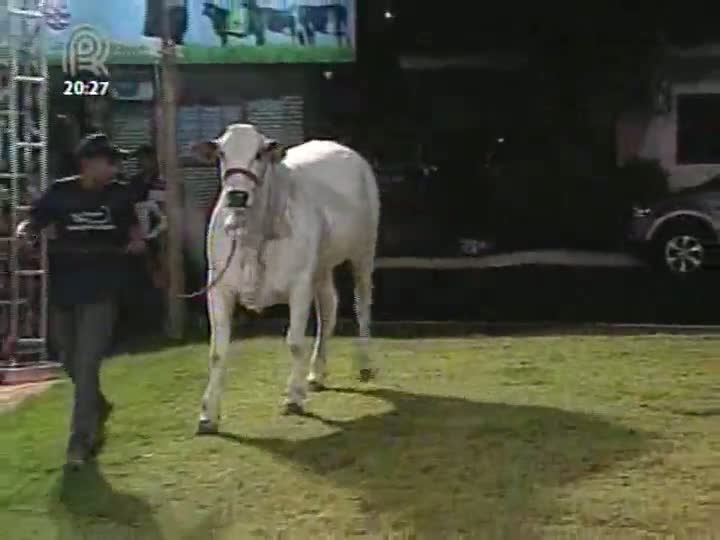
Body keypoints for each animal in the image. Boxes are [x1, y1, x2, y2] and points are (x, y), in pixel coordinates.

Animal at [191, 121, 382, 430]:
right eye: (221, 153)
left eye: (259, 154)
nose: (237, 196)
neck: (253, 234)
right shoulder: (218, 286)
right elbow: (217, 352)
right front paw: (208, 414)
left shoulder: (299, 284)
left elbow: (294, 342)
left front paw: (293, 397)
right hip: (321, 265)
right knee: (328, 309)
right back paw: (316, 373)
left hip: (364, 251)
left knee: (362, 305)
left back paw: (364, 364)